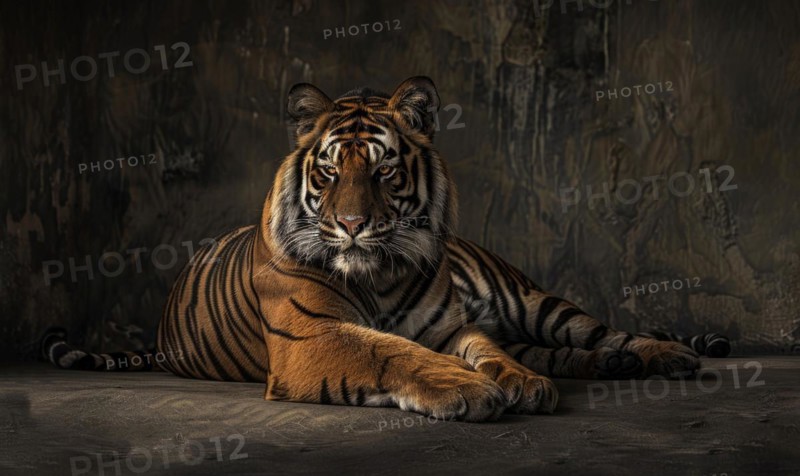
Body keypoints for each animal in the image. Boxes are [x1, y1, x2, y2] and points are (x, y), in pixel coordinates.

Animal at [44, 76, 731, 422]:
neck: (373, 274)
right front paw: (470, 389)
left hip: (532, 301)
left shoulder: (451, 326)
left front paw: (519, 383)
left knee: (594, 333)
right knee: (565, 349)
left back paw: (662, 355)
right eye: (328, 172)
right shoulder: (313, 336)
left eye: (383, 170)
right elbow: (389, 351)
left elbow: (487, 351)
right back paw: (614, 367)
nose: (351, 225)